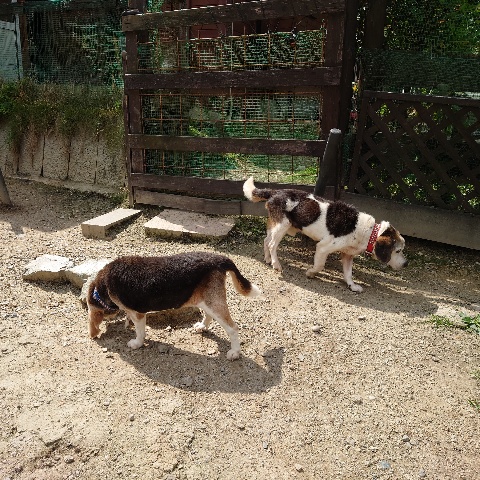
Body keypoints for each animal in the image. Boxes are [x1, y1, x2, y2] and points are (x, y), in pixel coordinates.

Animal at [87, 251, 261, 360]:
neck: (103, 286)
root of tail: (219, 258)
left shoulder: (138, 314)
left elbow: (140, 331)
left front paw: (137, 343)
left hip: (213, 302)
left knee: (232, 328)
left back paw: (235, 352)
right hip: (203, 299)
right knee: (209, 315)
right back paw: (202, 326)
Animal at [243, 177, 407, 292]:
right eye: (398, 251)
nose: (406, 264)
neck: (369, 231)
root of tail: (275, 192)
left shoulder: (348, 255)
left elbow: (348, 273)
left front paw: (352, 286)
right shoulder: (323, 247)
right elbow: (320, 265)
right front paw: (310, 273)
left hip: (275, 225)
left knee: (266, 240)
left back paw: (268, 259)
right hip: (283, 226)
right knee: (272, 244)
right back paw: (276, 264)